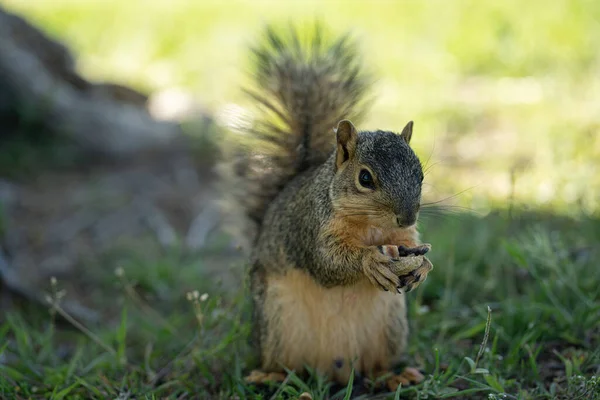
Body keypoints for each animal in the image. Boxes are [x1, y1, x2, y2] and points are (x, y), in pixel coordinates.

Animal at [218, 24, 434, 390]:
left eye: (420, 174)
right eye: (365, 178)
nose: (407, 216)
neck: (369, 225)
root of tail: (336, 369)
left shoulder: (402, 236)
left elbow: (409, 245)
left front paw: (423, 266)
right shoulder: (310, 227)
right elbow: (325, 262)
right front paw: (370, 260)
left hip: (390, 328)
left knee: (376, 368)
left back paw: (396, 375)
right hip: (278, 323)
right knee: (286, 364)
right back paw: (272, 376)